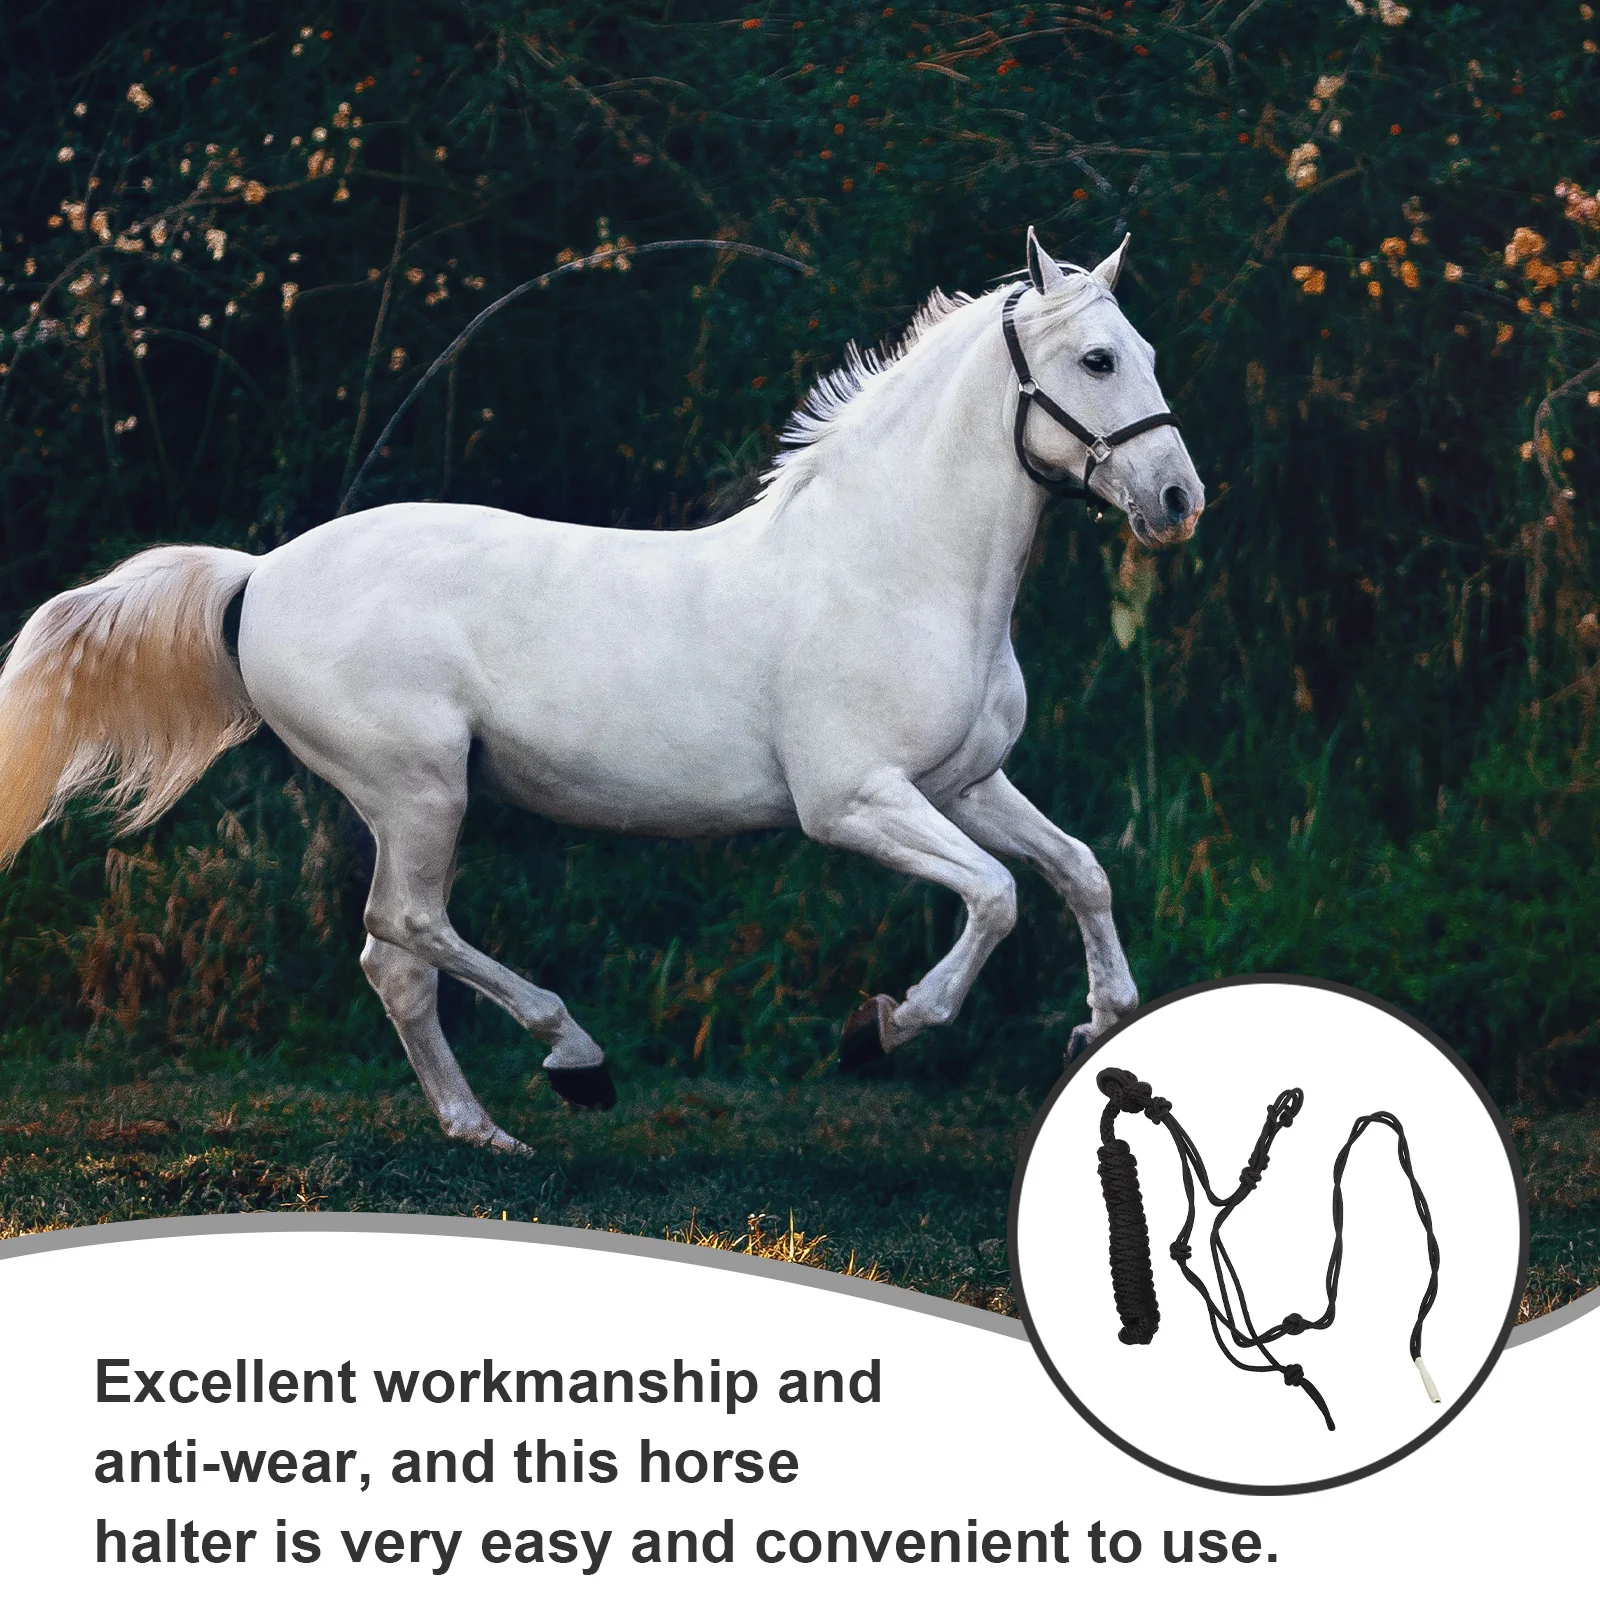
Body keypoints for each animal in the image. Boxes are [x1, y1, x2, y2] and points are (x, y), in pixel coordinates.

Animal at [0, 228, 1202, 1153]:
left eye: (1148, 351)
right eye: (1099, 359)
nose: (1178, 500)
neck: (891, 566)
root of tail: (257, 576)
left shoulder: (962, 784)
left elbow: (1078, 871)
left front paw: (1097, 1024)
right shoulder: (855, 802)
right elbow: (996, 897)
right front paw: (885, 1026)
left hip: (410, 802)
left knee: (394, 961)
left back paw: (483, 1130)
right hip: (418, 790)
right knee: (405, 925)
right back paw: (574, 1058)